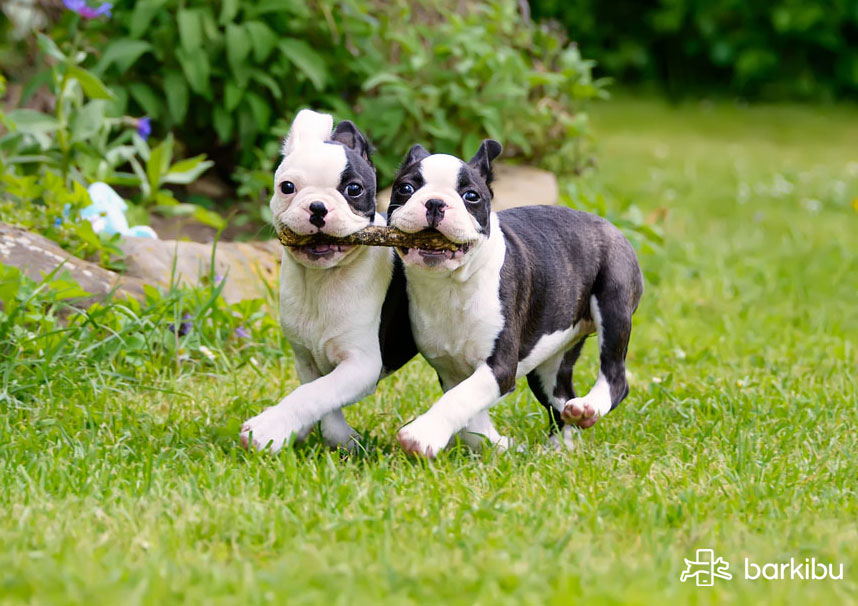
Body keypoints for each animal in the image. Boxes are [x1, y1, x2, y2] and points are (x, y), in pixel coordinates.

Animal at [239, 109, 416, 454]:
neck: (322, 280)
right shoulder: (306, 358)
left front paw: (269, 428)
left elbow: (313, 394)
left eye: (354, 190)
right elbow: (320, 394)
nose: (318, 206)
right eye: (287, 187)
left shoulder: (361, 363)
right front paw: (335, 437)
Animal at [388, 141, 640, 456]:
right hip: (550, 357)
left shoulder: (500, 368)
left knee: (615, 374)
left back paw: (589, 407)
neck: (450, 285)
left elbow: (461, 399)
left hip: (613, 300)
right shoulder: (449, 370)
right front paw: (498, 445)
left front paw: (422, 435)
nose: (435, 202)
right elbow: (469, 416)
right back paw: (562, 445)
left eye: (471, 196)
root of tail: (610, 225)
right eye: (405, 188)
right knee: (560, 397)